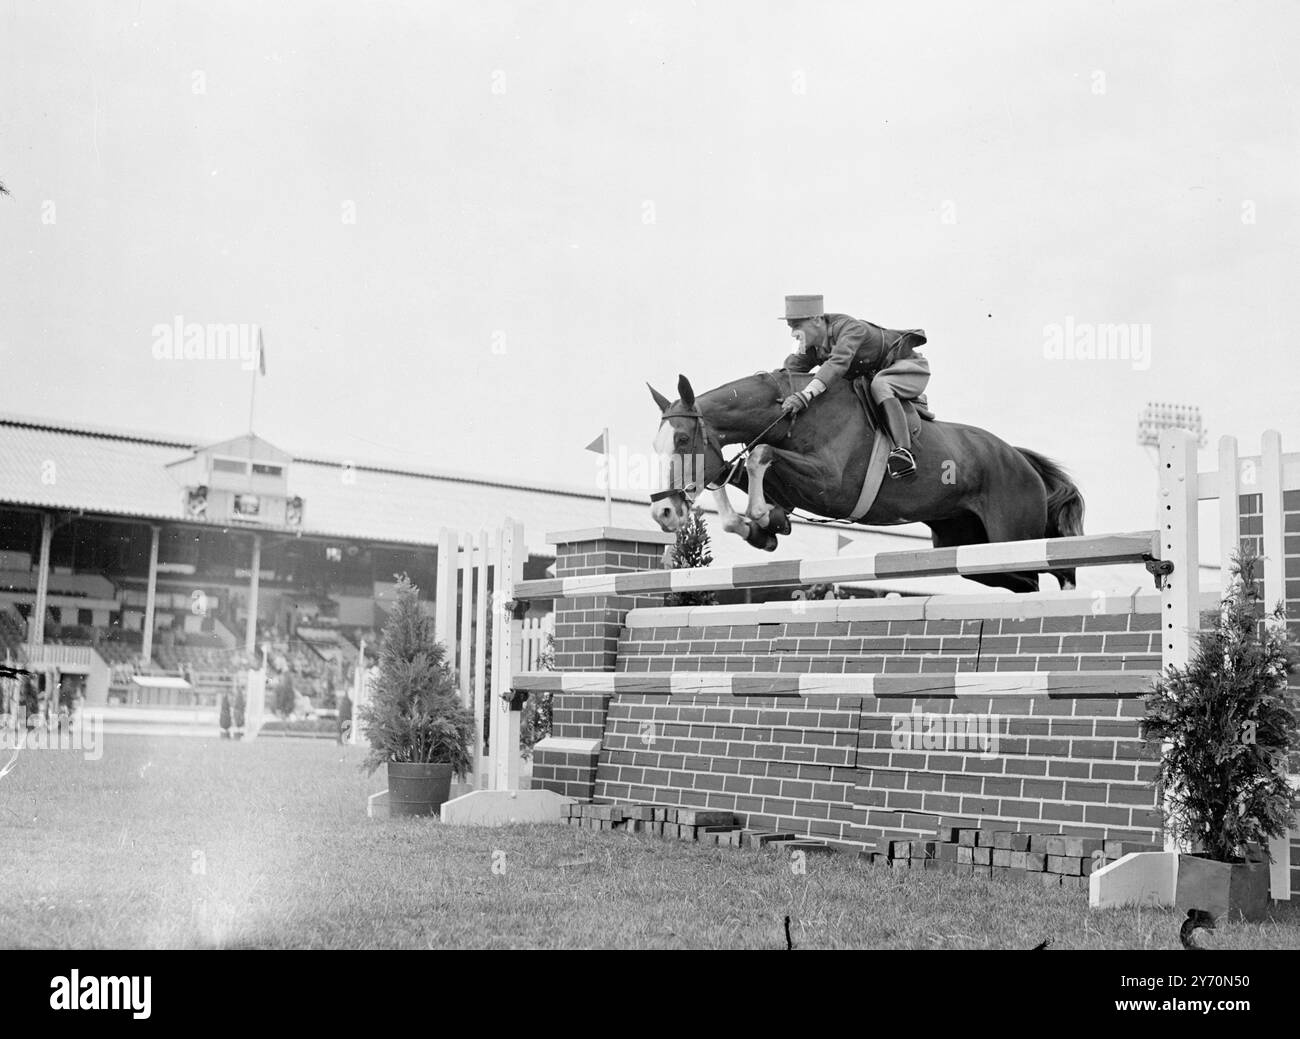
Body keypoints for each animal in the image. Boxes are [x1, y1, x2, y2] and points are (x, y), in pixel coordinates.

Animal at [650, 374, 1086, 592]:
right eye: (656, 445)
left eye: (683, 440)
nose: (663, 513)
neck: (794, 415)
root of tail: (1020, 460)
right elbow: (733, 474)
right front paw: (763, 527)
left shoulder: (833, 486)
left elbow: (760, 455)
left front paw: (761, 517)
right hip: (970, 550)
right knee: (1024, 580)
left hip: (1011, 537)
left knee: (1049, 569)